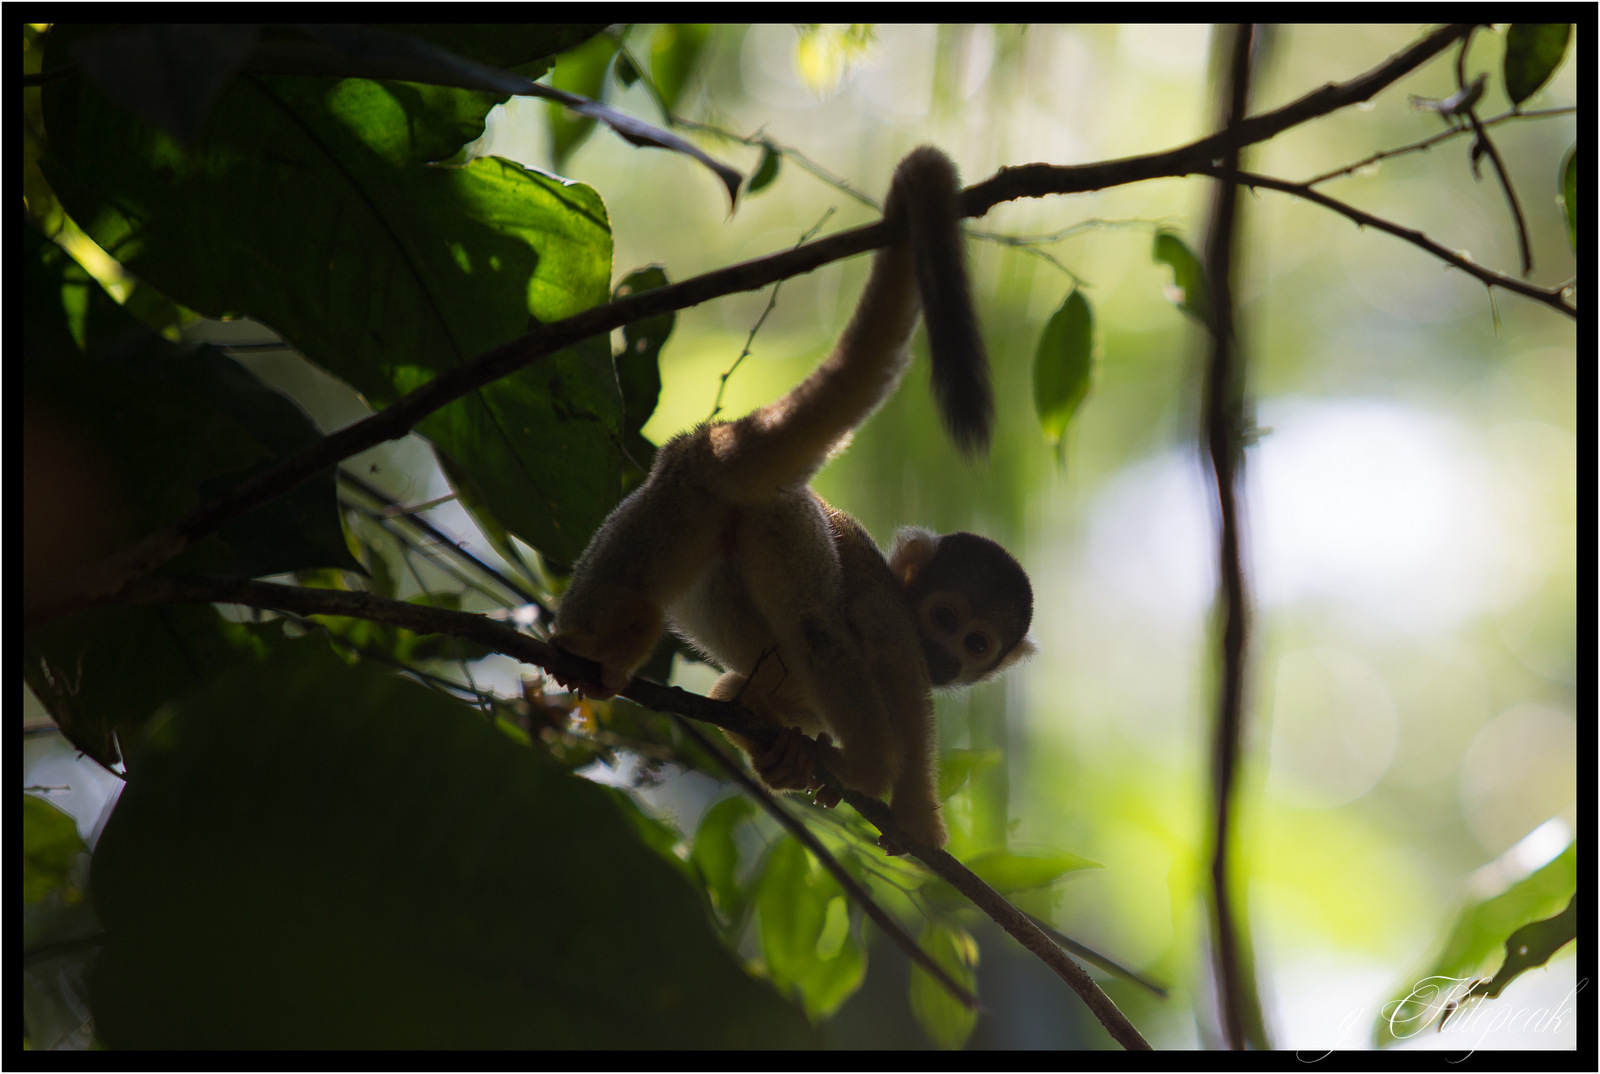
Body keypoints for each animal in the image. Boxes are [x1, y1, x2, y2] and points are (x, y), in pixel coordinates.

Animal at [553, 147, 1036, 851]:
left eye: (978, 644)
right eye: (945, 618)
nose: (948, 656)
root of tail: (727, 439)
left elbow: (736, 690)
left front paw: (782, 754)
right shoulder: (894, 622)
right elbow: (899, 689)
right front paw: (916, 814)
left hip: (671, 498)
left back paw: (592, 641)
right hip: (786, 525)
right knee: (817, 629)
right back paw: (866, 763)